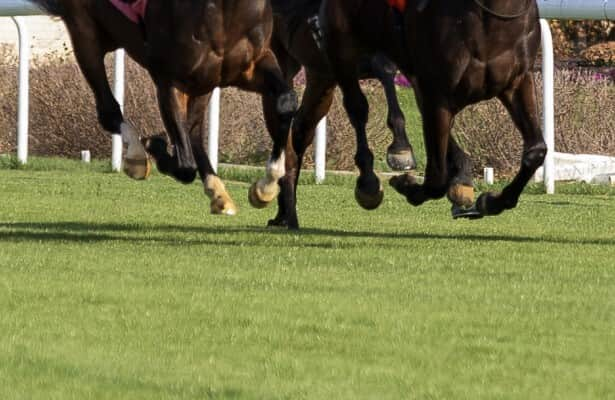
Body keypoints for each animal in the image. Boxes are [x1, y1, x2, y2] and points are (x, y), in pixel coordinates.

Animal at [28, 0, 298, 217]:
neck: (226, 11)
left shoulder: (254, 64)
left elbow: (287, 102)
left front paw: (265, 187)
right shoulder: (169, 80)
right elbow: (184, 166)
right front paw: (155, 146)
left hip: (204, 83)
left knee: (193, 131)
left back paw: (218, 192)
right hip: (85, 33)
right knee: (109, 111)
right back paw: (137, 155)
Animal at [318, 0, 544, 219]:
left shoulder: (517, 82)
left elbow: (536, 151)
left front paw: (491, 201)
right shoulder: (437, 94)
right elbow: (436, 178)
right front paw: (408, 186)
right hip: (344, 45)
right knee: (360, 102)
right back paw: (372, 180)